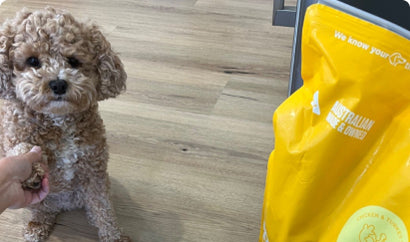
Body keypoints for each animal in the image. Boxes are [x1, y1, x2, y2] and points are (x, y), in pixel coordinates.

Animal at [0, 7, 131, 242]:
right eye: (32, 61)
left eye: (74, 61)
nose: (58, 83)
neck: (58, 119)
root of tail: (64, 204)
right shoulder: (12, 140)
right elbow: (21, 148)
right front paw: (32, 169)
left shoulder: (94, 171)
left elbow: (104, 211)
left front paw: (114, 236)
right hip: (41, 201)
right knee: (42, 212)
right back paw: (36, 227)